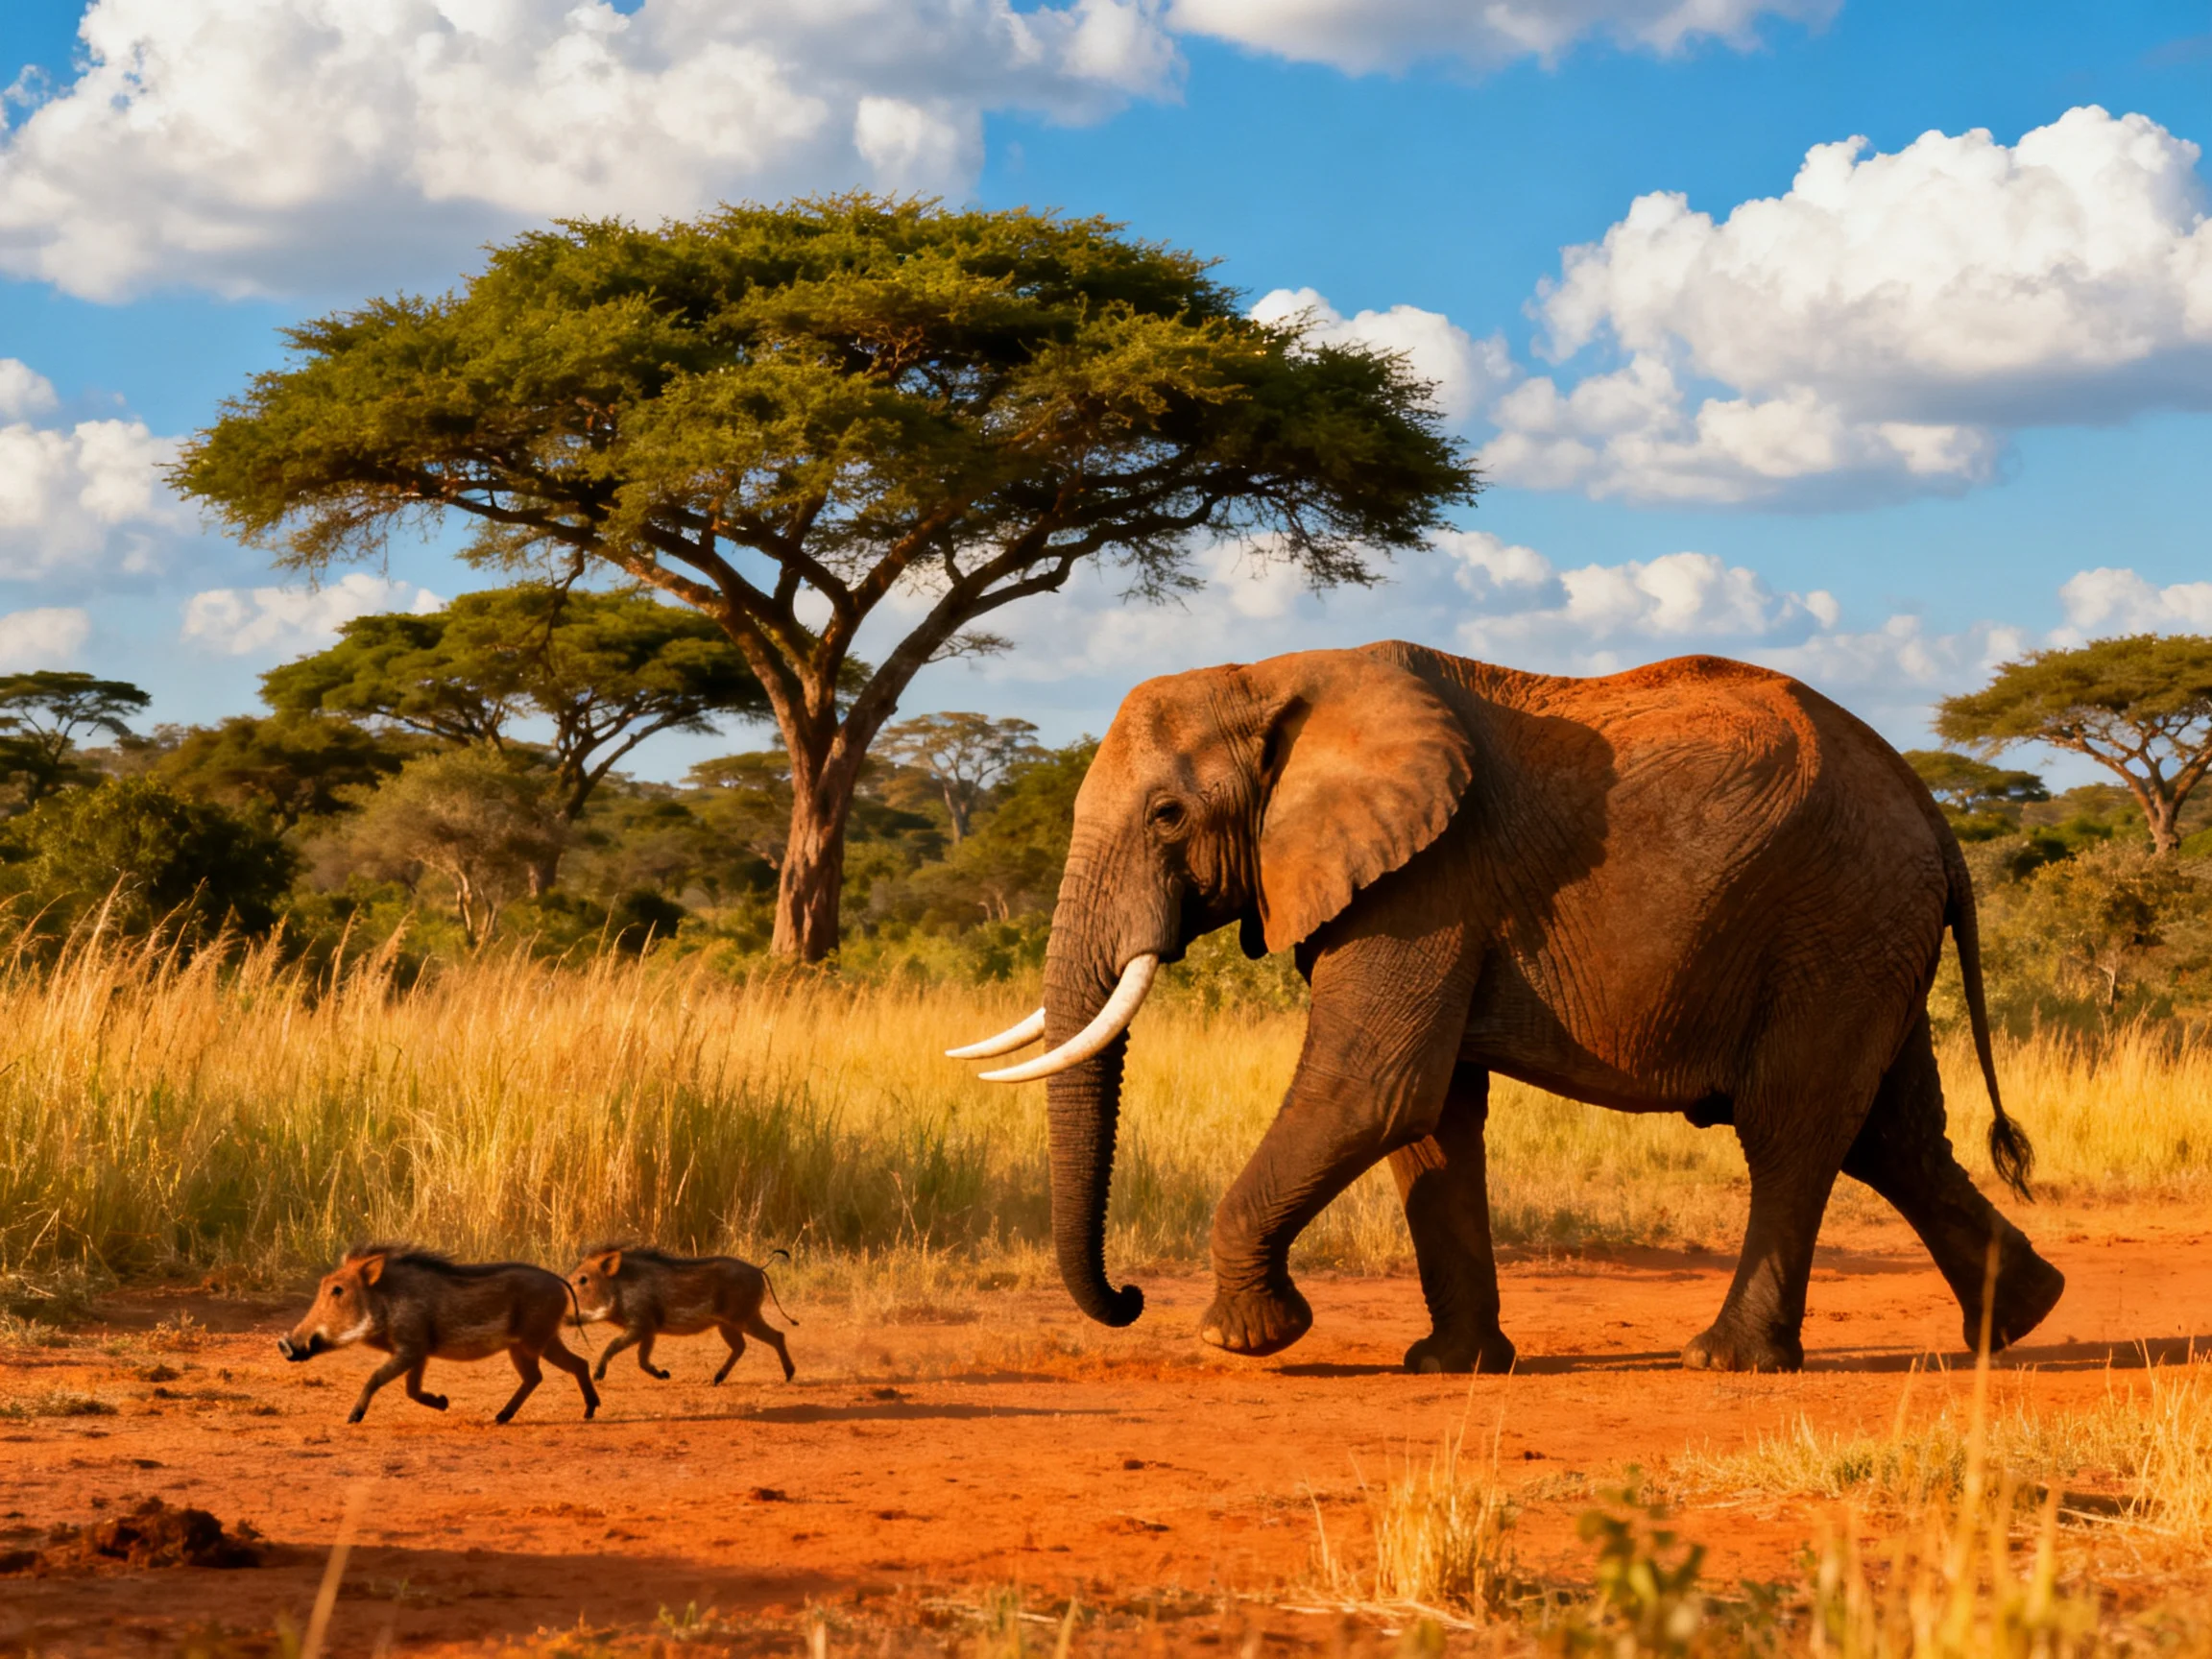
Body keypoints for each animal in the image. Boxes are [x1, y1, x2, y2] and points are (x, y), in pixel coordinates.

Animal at [949, 640, 2065, 1373]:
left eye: (1169, 815)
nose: (1129, 1298)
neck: (1275, 675)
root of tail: (1931, 807)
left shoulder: (1428, 881)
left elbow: (1371, 1091)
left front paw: (1246, 1340)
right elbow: (1430, 1118)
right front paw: (1450, 1367)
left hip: (1835, 914)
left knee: (1792, 1128)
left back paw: (1727, 1360)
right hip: (1871, 932)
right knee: (1894, 1136)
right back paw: (2019, 1323)